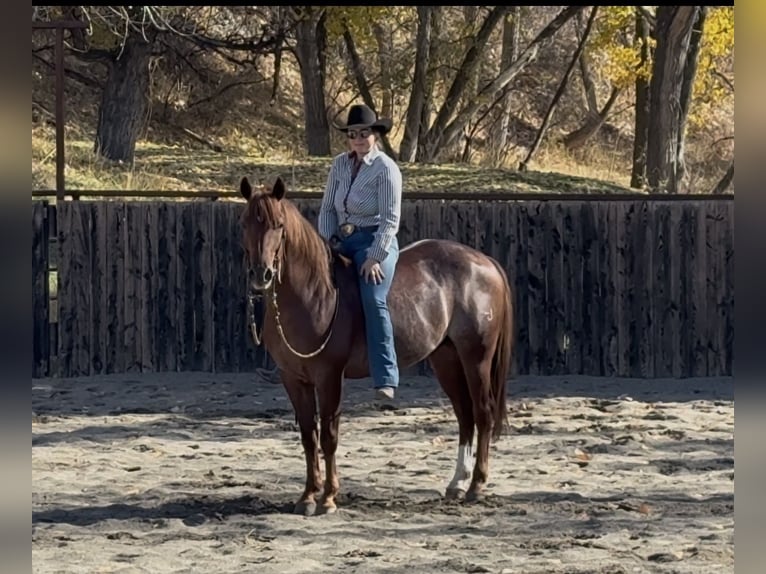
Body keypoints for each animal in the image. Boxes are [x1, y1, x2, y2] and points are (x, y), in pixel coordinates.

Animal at [239, 175, 514, 516]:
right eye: (244, 222)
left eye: (278, 224)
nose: (260, 274)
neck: (313, 294)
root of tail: (484, 261)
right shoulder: (293, 379)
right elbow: (308, 435)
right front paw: (307, 497)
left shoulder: (329, 377)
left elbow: (328, 435)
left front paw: (328, 498)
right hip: (447, 359)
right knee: (465, 416)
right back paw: (457, 484)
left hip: (476, 358)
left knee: (483, 412)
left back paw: (476, 485)